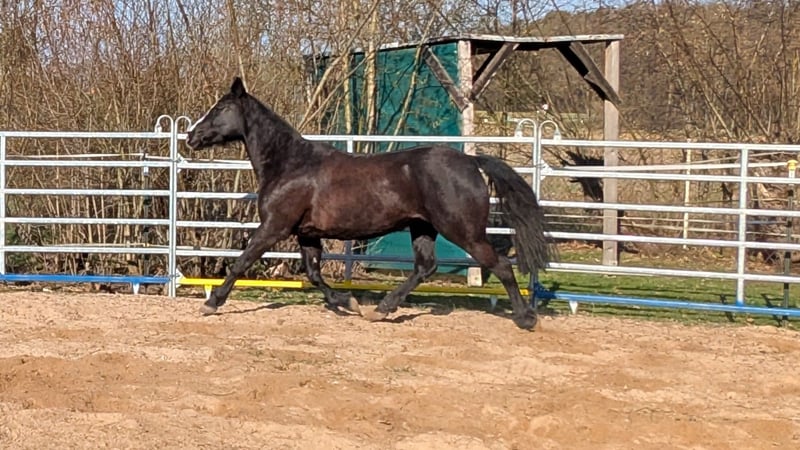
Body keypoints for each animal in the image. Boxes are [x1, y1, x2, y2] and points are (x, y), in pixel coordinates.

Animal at [185, 77, 551, 330]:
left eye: (219, 109)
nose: (191, 137)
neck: (290, 164)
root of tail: (471, 162)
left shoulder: (275, 226)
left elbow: (241, 262)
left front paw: (212, 302)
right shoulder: (307, 234)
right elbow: (314, 274)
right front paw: (348, 302)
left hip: (464, 232)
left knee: (500, 266)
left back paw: (526, 318)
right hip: (422, 227)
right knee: (425, 267)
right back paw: (382, 309)